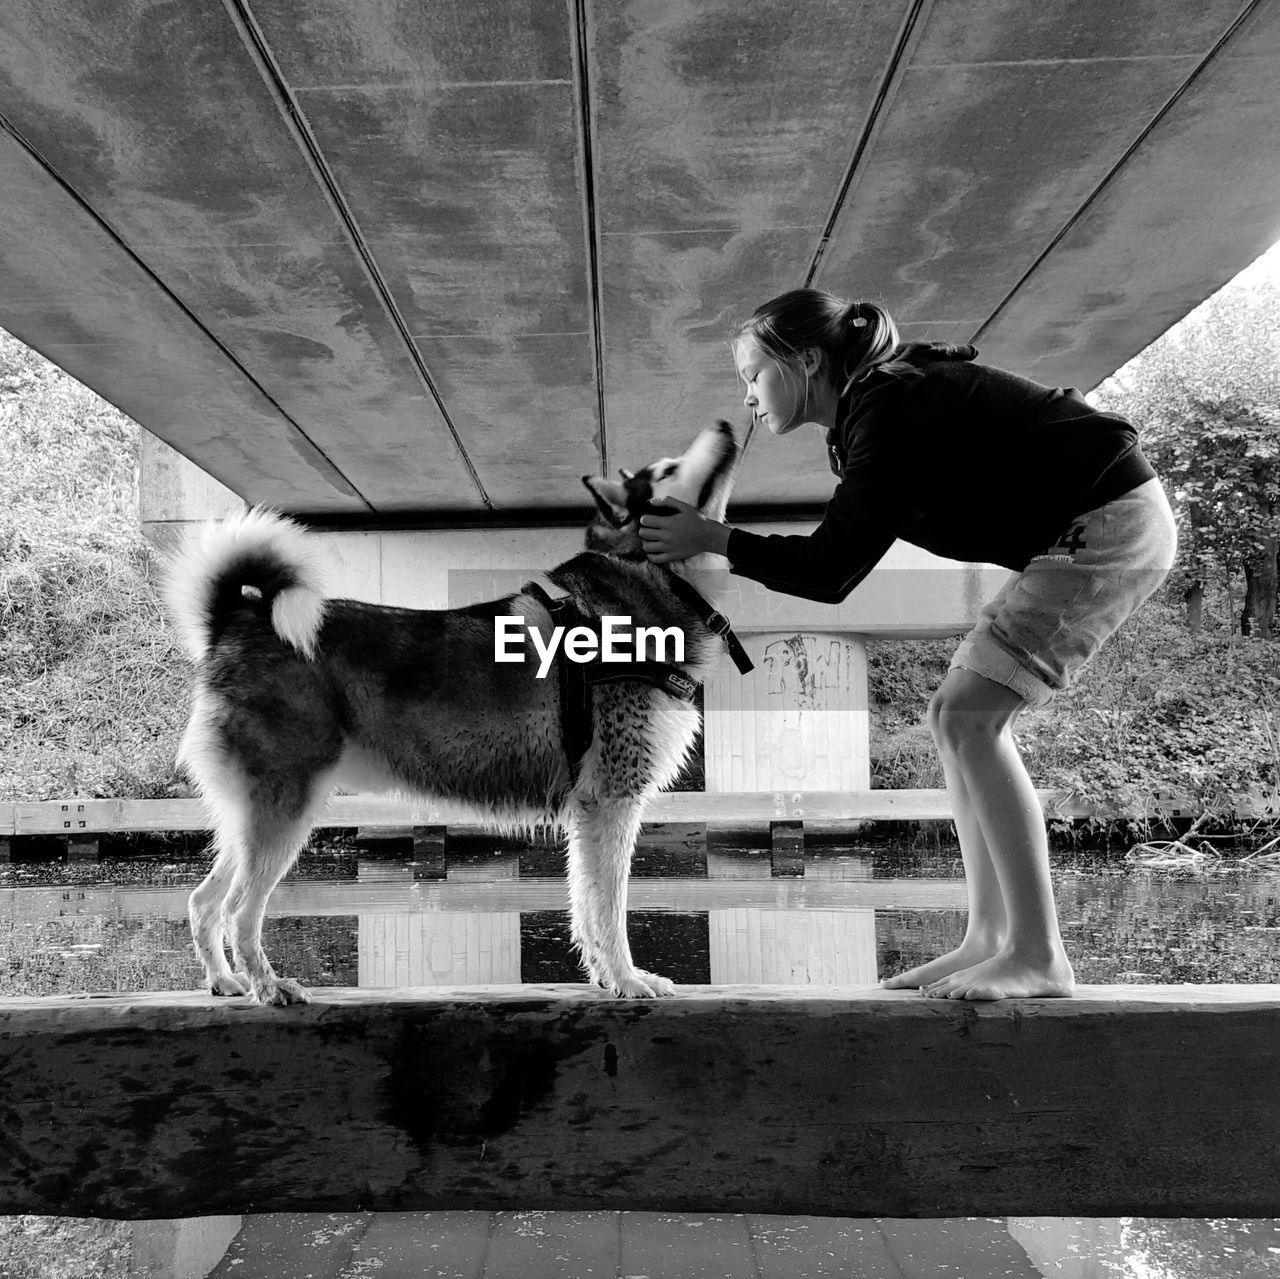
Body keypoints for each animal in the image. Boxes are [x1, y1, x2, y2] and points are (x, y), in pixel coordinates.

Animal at [167, 425, 742, 1003]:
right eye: (669, 469)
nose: (725, 426)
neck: (648, 578)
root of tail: (239, 618)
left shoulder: (589, 809)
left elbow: (585, 905)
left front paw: (606, 977)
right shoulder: (611, 801)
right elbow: (609, 910)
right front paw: (627, 979)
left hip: (254, 817)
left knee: (203, 900)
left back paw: (225, 981)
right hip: (285, 810)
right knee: (239, 909)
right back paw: (270, 986)